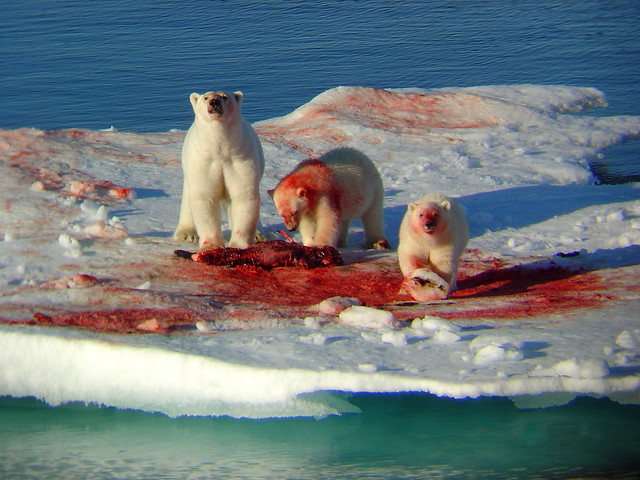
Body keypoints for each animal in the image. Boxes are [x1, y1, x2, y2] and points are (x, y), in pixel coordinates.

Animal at [172, 90, 264, 249]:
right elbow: (205, 196)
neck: (220, 150)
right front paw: (211, 246)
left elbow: (243, 195)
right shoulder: (204, 161)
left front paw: (238, 245)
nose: (214, 102)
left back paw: (258, 235)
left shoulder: (240, 159)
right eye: (206, 97)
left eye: (225, 97)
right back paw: (187, 234)